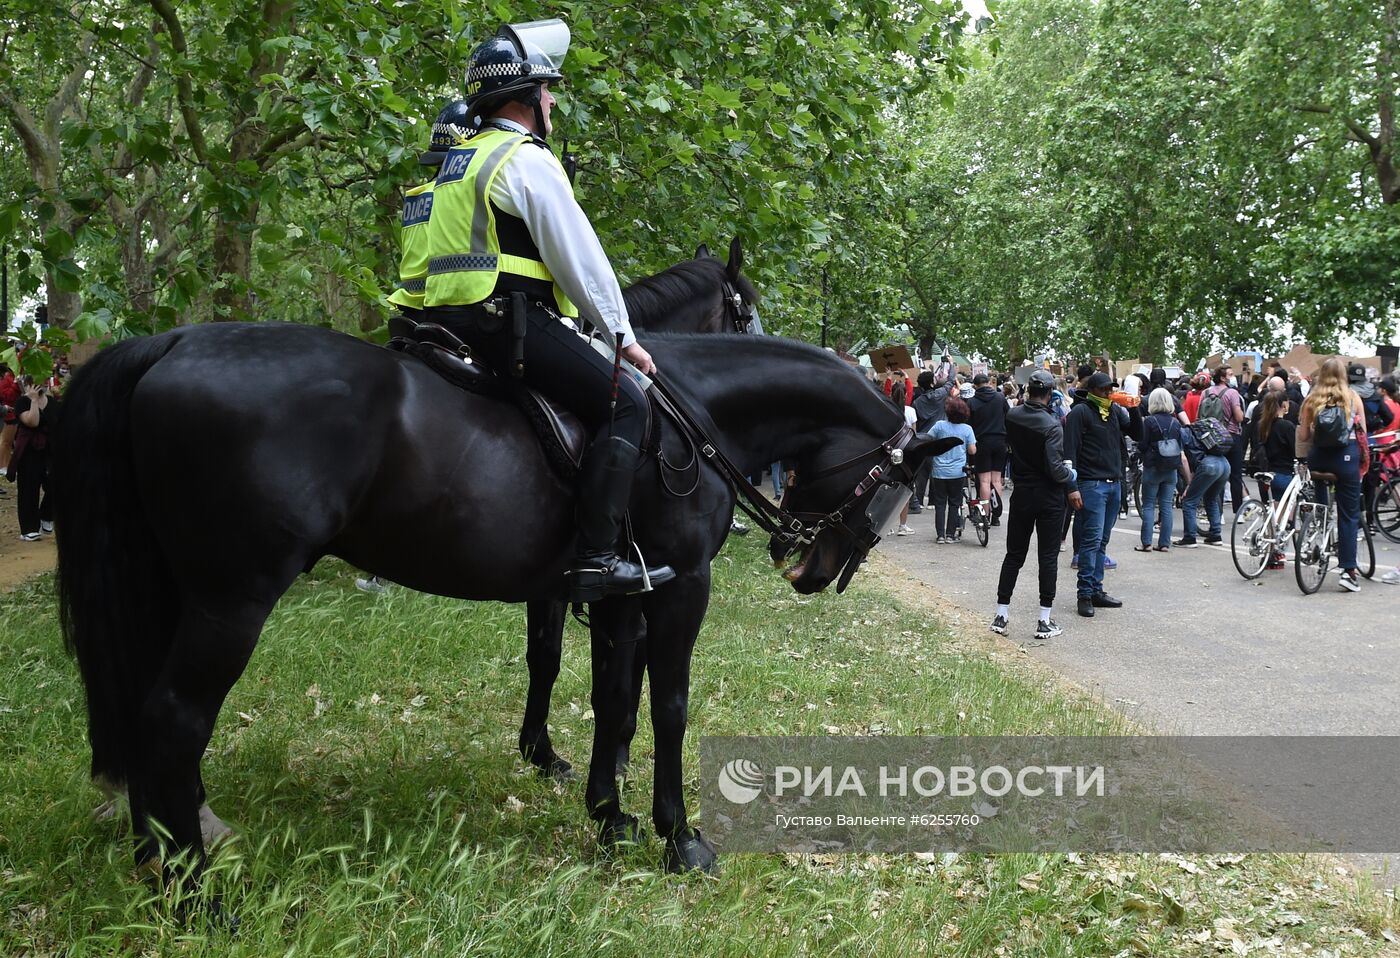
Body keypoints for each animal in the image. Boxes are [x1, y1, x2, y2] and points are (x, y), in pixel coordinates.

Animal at [49, 306, 957, 885]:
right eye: (894, 490)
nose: (810, 568)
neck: (688, 415)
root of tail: (171, 342)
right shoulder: (678, 589)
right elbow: (666, 705)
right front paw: (676, 835)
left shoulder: (618, 594)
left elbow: (611, 697)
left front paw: (608, 814)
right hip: (229, 602)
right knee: (172, 719)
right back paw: (194, 893)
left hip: (174, 593)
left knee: (144, 714)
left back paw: (165, 855)